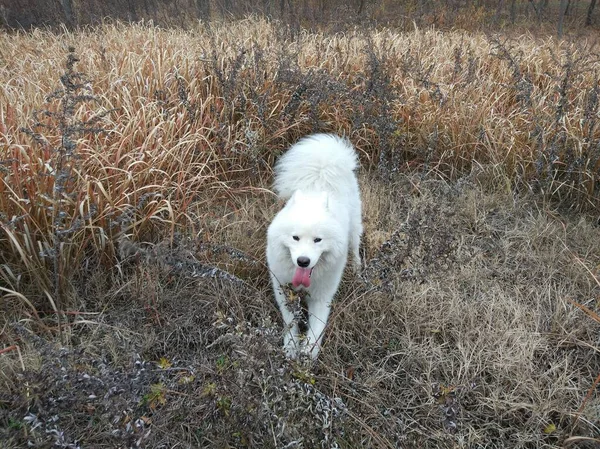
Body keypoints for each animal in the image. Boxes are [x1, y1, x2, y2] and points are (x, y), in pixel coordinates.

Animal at [266, 132, 360, 356]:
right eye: (295, 238)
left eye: (318, 240)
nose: (303, 261)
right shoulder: (283, 290)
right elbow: (290, 322)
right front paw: (292, 348)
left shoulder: (321, 297)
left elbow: (317, 327)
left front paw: (308, 353)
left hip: (355, 229)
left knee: (356, 247)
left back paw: (358, 268)